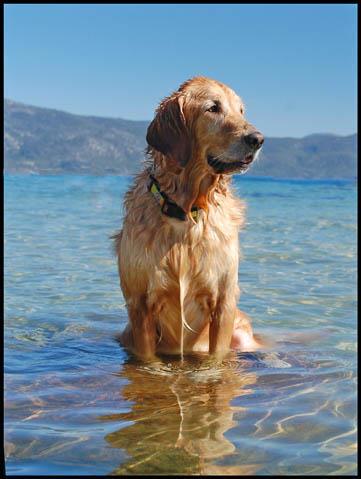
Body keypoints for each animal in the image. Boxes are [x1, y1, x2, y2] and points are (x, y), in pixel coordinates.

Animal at [113, 76, 264, 360]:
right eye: (213, 108)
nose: (258, 139)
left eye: (241, 111)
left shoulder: (224, 301)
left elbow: (218, 357)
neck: (186, 211)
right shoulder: (139, 305)